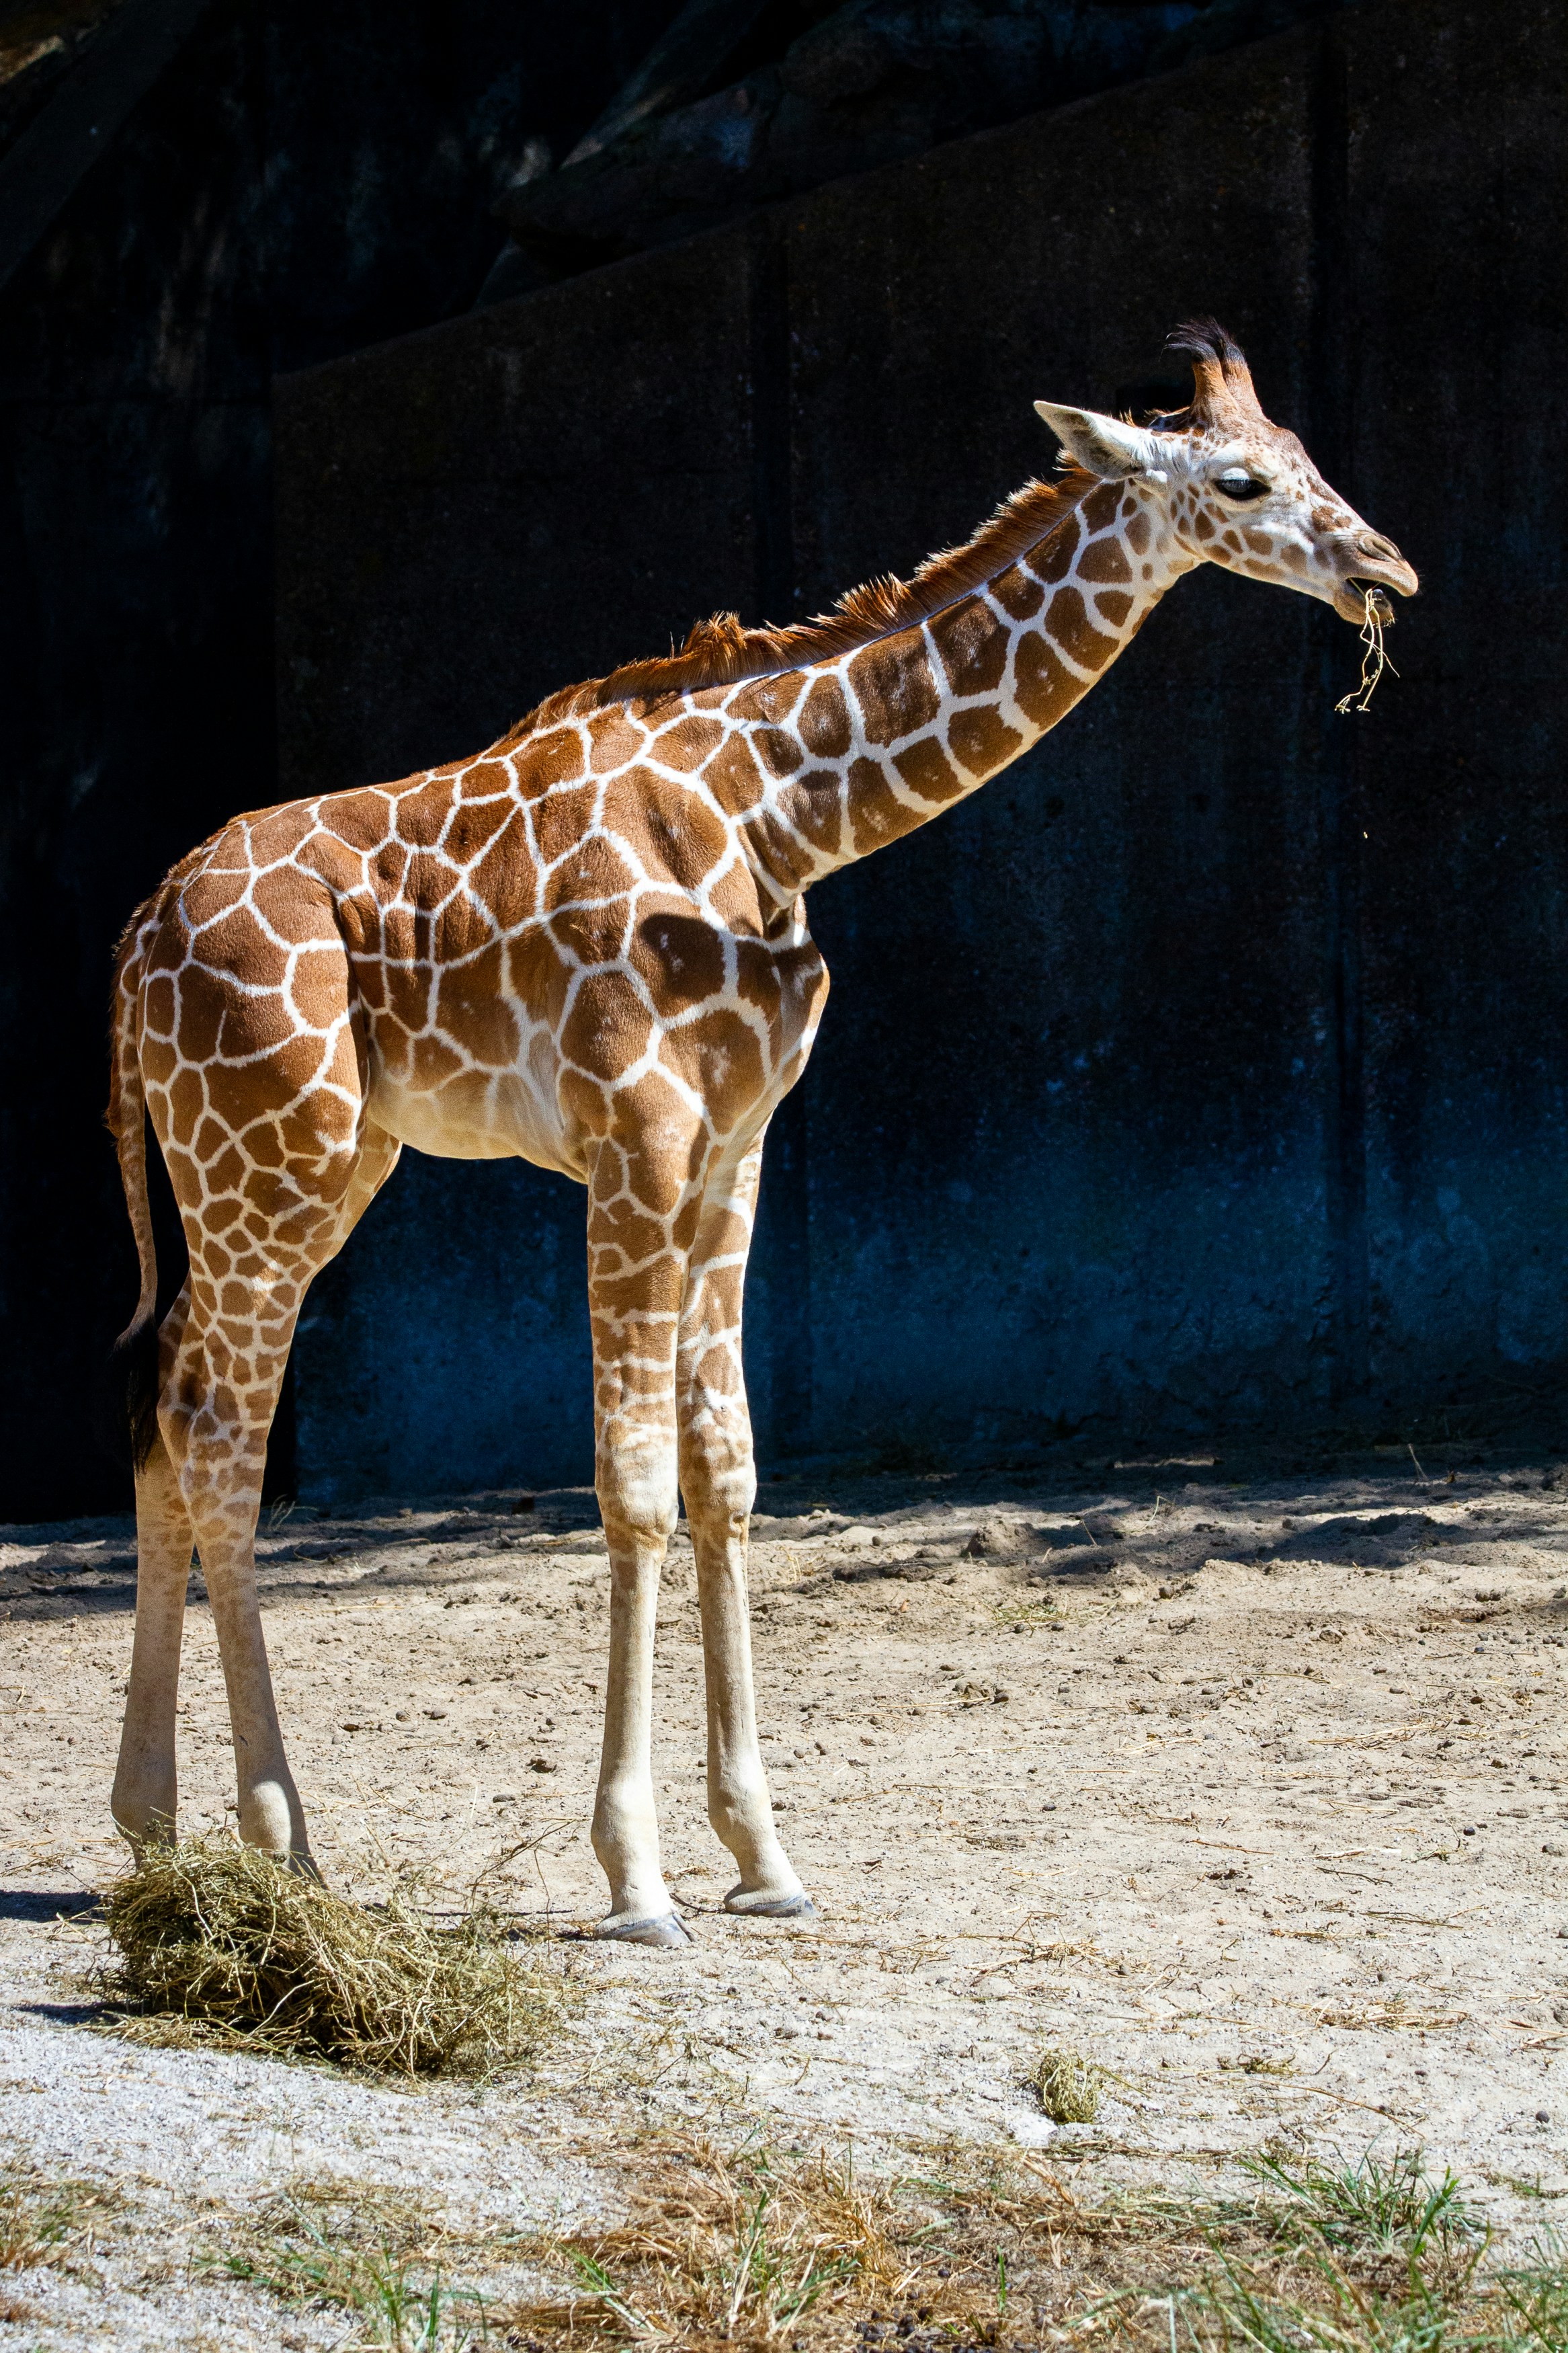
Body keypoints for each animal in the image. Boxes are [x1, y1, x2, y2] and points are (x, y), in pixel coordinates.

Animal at [105, 321, 1415, 1944]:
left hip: (309, 1164)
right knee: (225, 1441)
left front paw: (762, 1856)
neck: (782, 811)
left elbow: (726, 1472)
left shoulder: (733, 1152)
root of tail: (138, 934)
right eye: (1239, 480)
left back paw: (153, 1834)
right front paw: (635, 1877)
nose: (1385, 571)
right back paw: (288, 1853)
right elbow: (633, 1486)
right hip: (268, 1154)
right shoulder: (633, 1140)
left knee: (170, 1413)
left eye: (1303, 455)